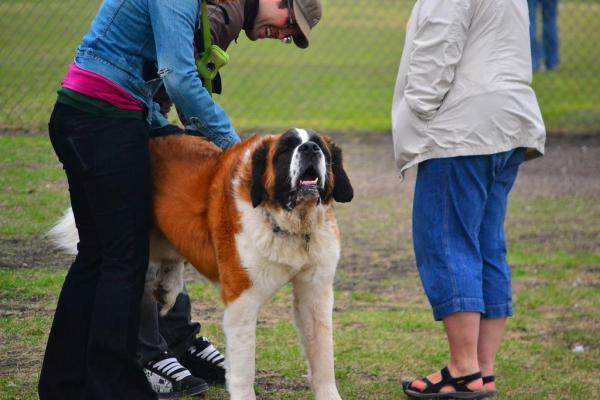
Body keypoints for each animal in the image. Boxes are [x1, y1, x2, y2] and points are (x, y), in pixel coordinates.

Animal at [51, 129, 354, 400]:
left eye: (320, 147)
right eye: (285, 150)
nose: (309, 149)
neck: (289, 225)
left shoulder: (315, 293)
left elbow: (322, 354)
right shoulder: (241, 299)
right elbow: (244, 368)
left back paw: (168, 286)